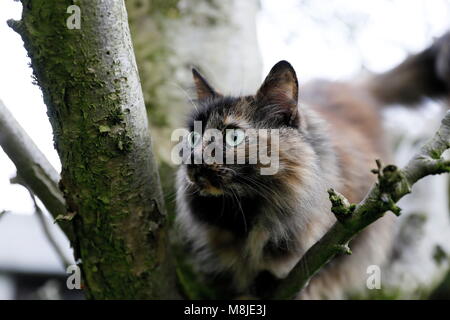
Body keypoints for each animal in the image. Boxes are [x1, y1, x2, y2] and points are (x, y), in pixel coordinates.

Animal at [175, 33, 450, 300]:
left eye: (233, 137)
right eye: (193, 137)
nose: (194, 159)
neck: (245, 213)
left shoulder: (357, 219)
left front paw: (271, 282)